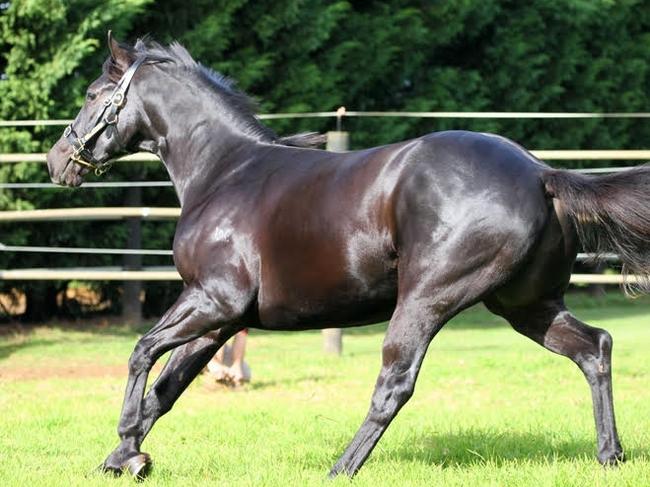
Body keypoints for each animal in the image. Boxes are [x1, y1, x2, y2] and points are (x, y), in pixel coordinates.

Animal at [46, 35, 648, 480]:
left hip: (427, 299)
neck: (224, 172)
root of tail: (540, 173)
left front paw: (129, 450)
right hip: (525, 305)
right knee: (594, 347)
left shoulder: (213, 300)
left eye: (95, 94)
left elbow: (140, 354)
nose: (57, 161)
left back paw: (341, 468)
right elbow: (165, 391)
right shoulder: (220, 320)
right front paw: (119, 460)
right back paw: (610, 455)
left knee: (395, 383)